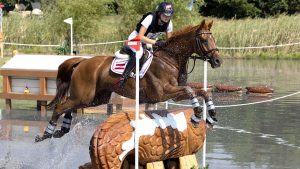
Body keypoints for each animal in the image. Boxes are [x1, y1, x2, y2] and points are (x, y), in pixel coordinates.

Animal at [35, 19, 223, 142]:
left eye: (214, 39)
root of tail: (82, 61)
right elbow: (191, 91)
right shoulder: (163, 92)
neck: (170, 59)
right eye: (204, 40)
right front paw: (197, 115)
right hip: (84, 95)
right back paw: (45, 134)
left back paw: (62, 130)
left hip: (94, 98)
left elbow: (203, 91)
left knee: (69, 107)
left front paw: (212, 116)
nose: (217, 61)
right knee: (60, 107)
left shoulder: (175, 93)